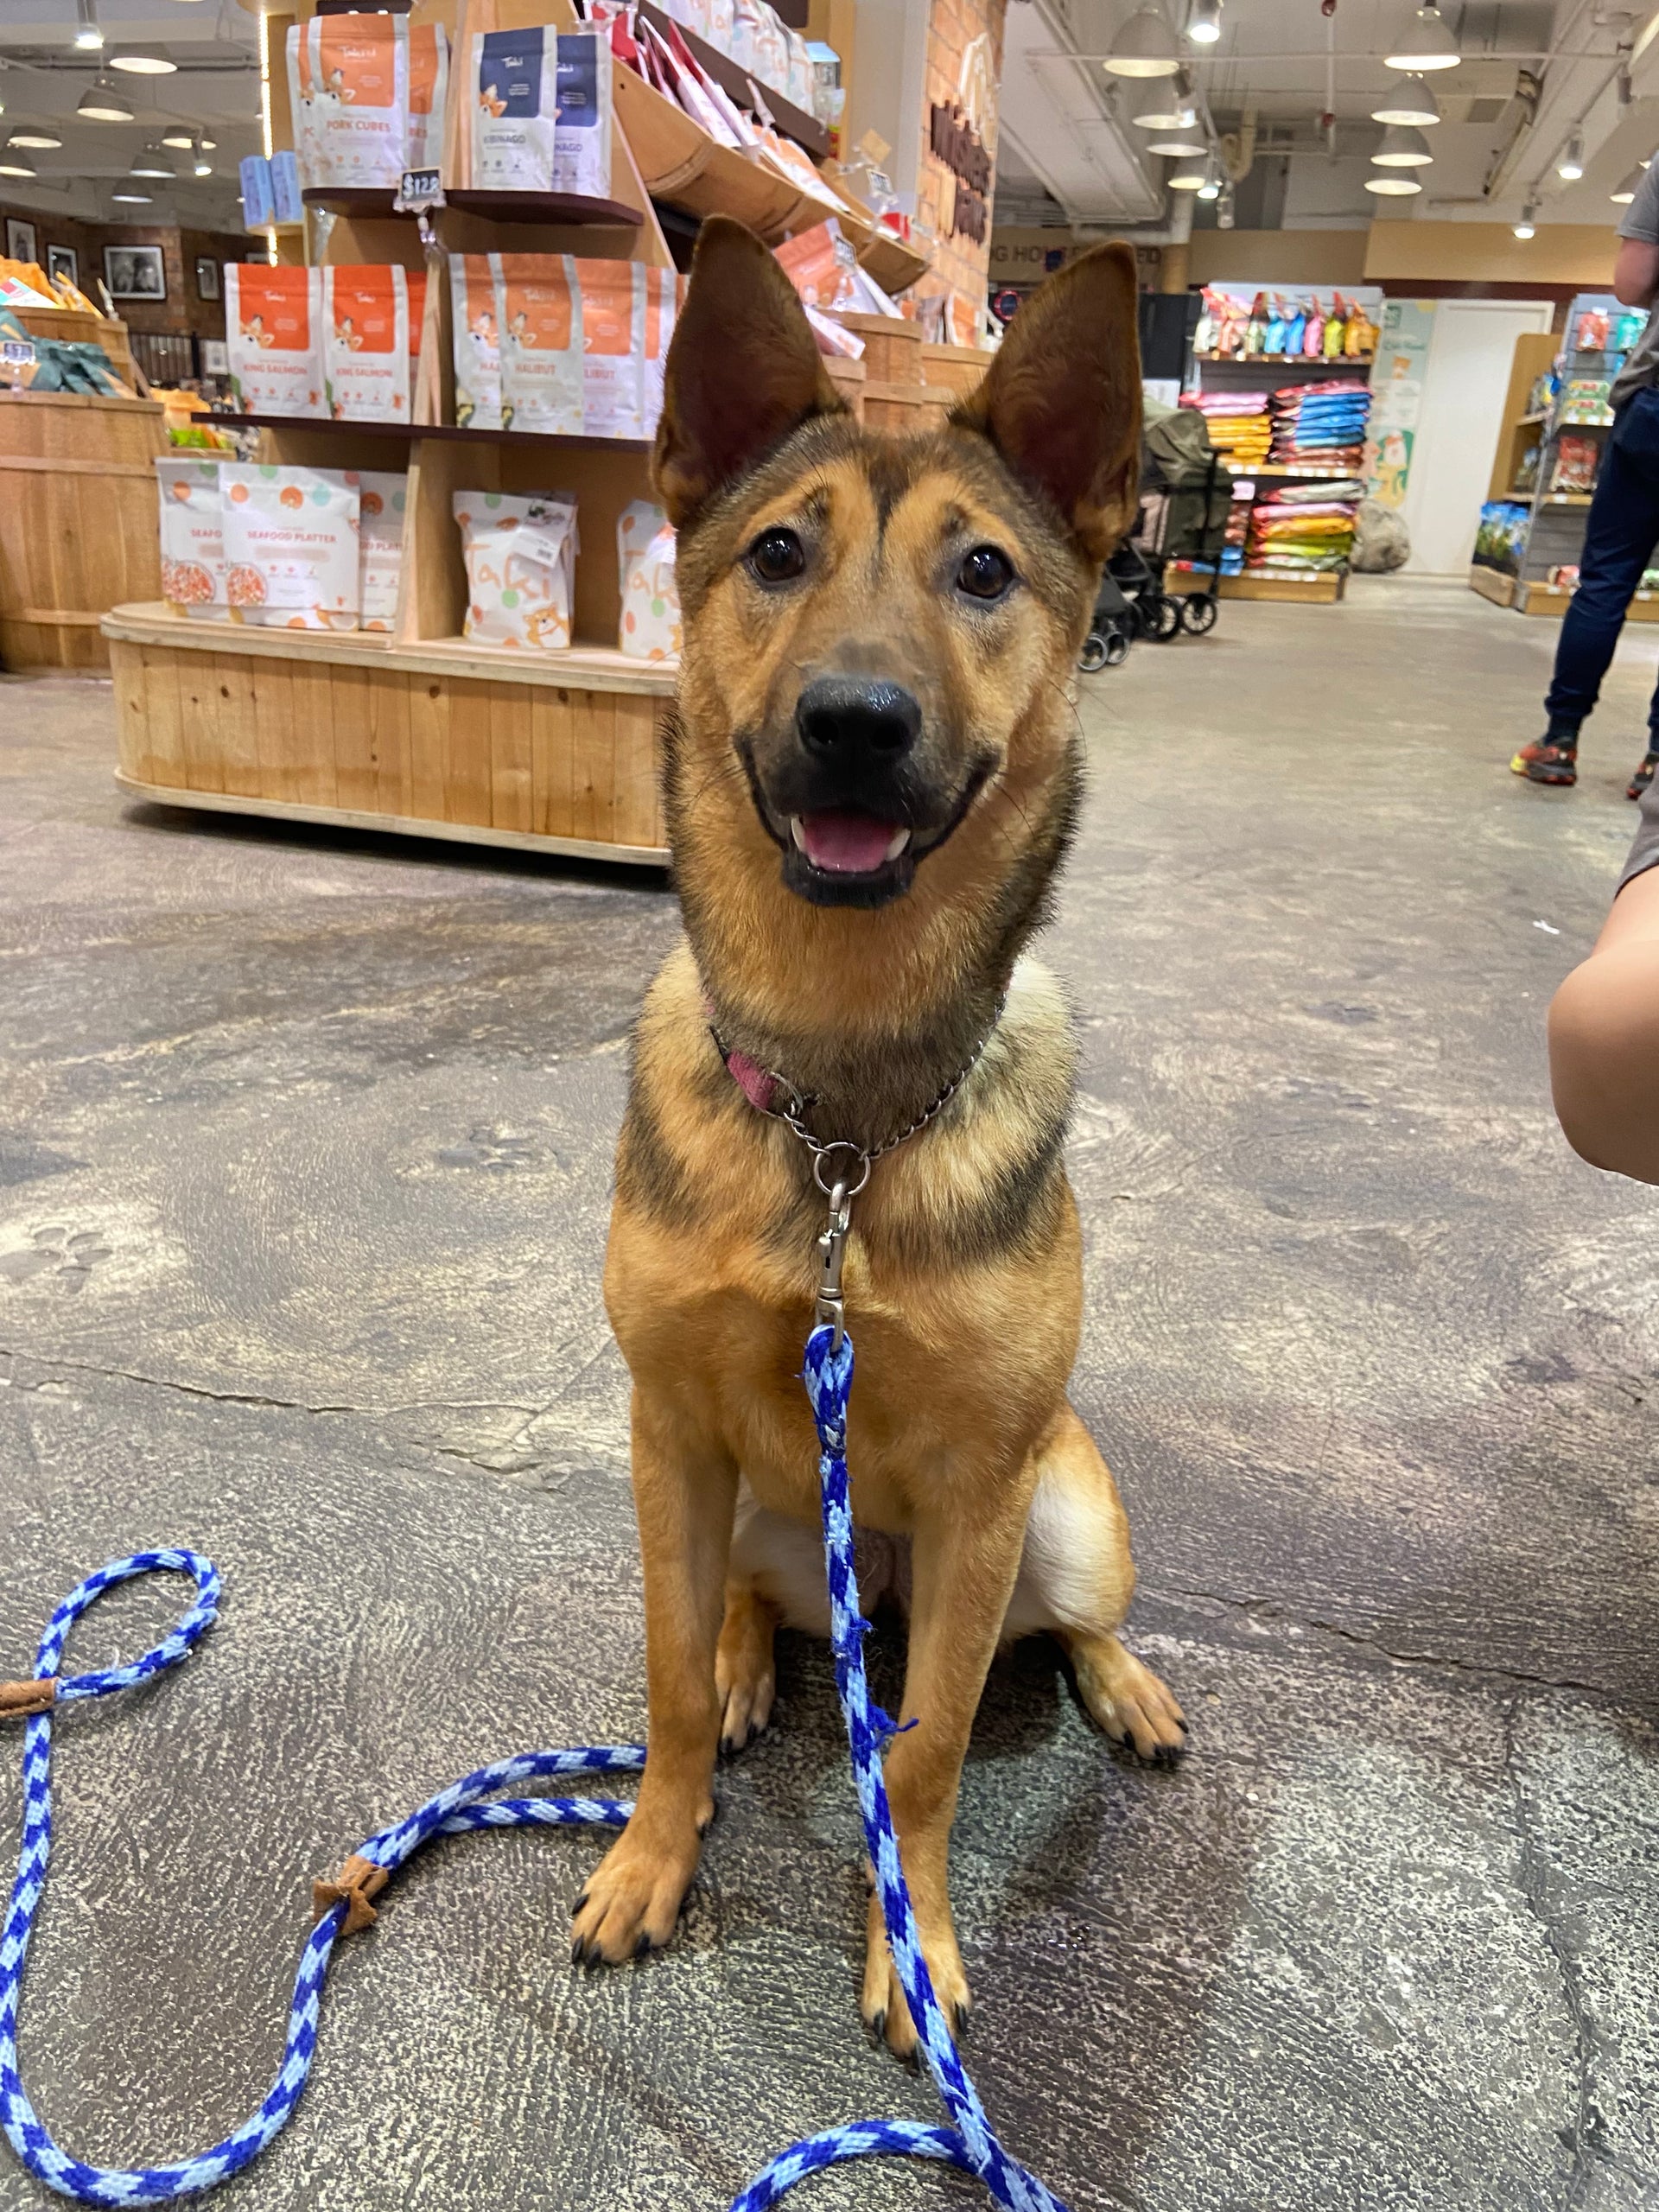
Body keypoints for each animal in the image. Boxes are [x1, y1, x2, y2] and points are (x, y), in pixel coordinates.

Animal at [572, 220, 1186, 2056]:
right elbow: (658, 1673)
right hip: (758, 1509)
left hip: (1058, 1517)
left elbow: (921, 1755)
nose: (855, 719)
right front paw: (656, 1845)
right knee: (752, 1605)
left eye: (982, 573)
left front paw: (910, 1937)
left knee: (1046, 1635)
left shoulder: (985, 1493)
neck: (838, 1121)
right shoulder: (665, 1435)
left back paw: (1124, 1683)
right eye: (779, 552)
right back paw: (747, 1665)